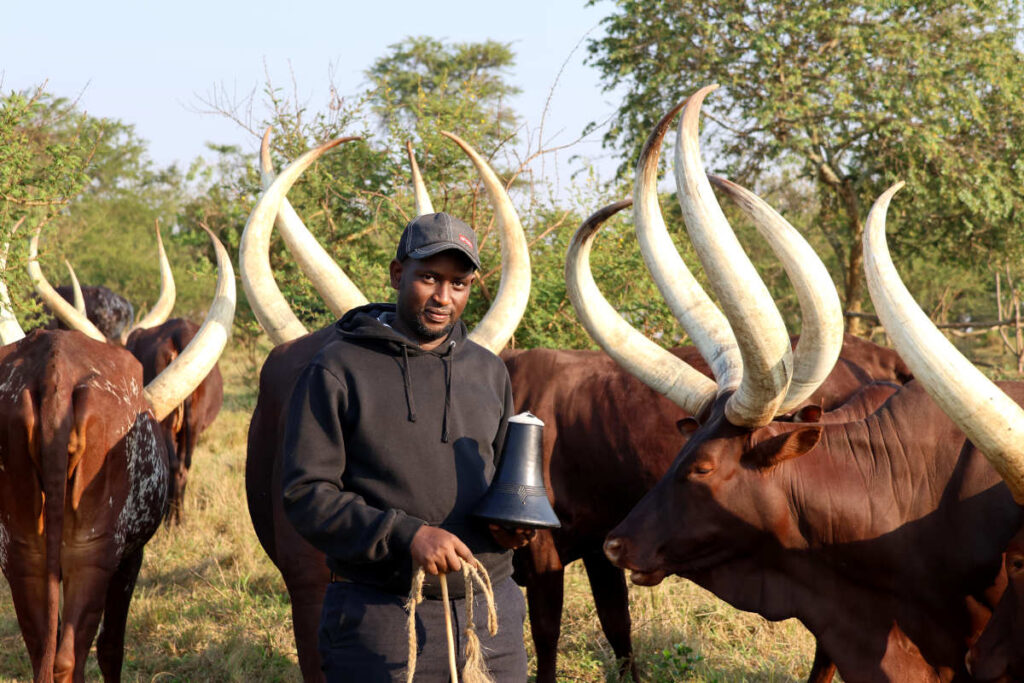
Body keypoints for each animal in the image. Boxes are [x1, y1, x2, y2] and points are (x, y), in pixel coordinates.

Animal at [125, 317, 224, 528]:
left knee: (173, 466)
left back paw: (170, 520)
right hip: (191, 426)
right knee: (182, 467)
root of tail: (180, 332)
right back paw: (178, 519)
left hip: (167, 424)